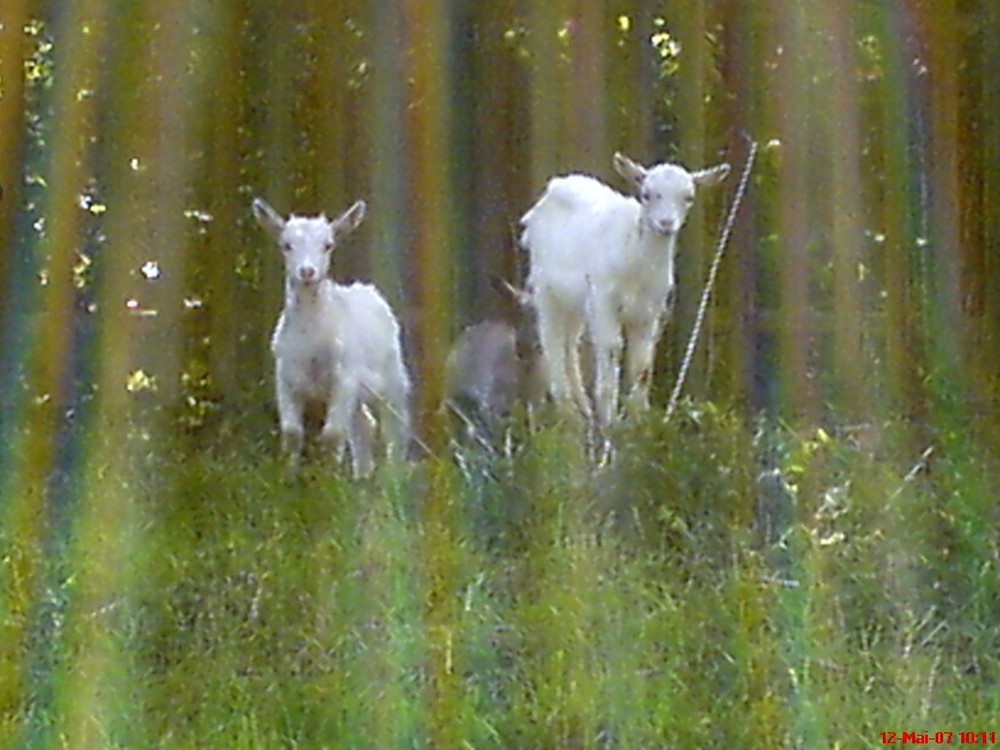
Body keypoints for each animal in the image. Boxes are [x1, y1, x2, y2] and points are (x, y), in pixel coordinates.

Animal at [254, 195, 410, 476]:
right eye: (286, 245)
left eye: (328, 245)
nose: (307, 272)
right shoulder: (285, 378)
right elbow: (292, 434)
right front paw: (288, 479)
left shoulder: (344, 378)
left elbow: (332, 435)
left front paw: (330, 481)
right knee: (365, 425)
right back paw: (362, 475)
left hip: (394, 374)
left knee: (395, 428)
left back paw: (394, 476)